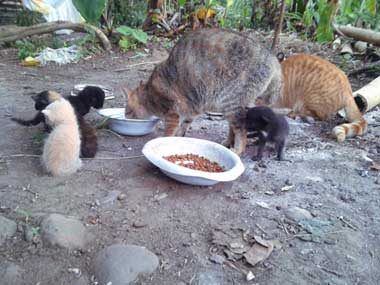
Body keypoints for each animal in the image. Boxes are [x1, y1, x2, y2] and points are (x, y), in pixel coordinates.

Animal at [124, 28, 282, 153]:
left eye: (128, 111)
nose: (125, 116)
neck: (149, 93)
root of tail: (272, 58)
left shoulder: (173, 113)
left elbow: (168, 133)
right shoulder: (192, 109)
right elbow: (183, 127)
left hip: (230, 102)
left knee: (241, 132)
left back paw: (236, 149)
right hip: (234, 106)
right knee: (233, 127)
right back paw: (228, 142)